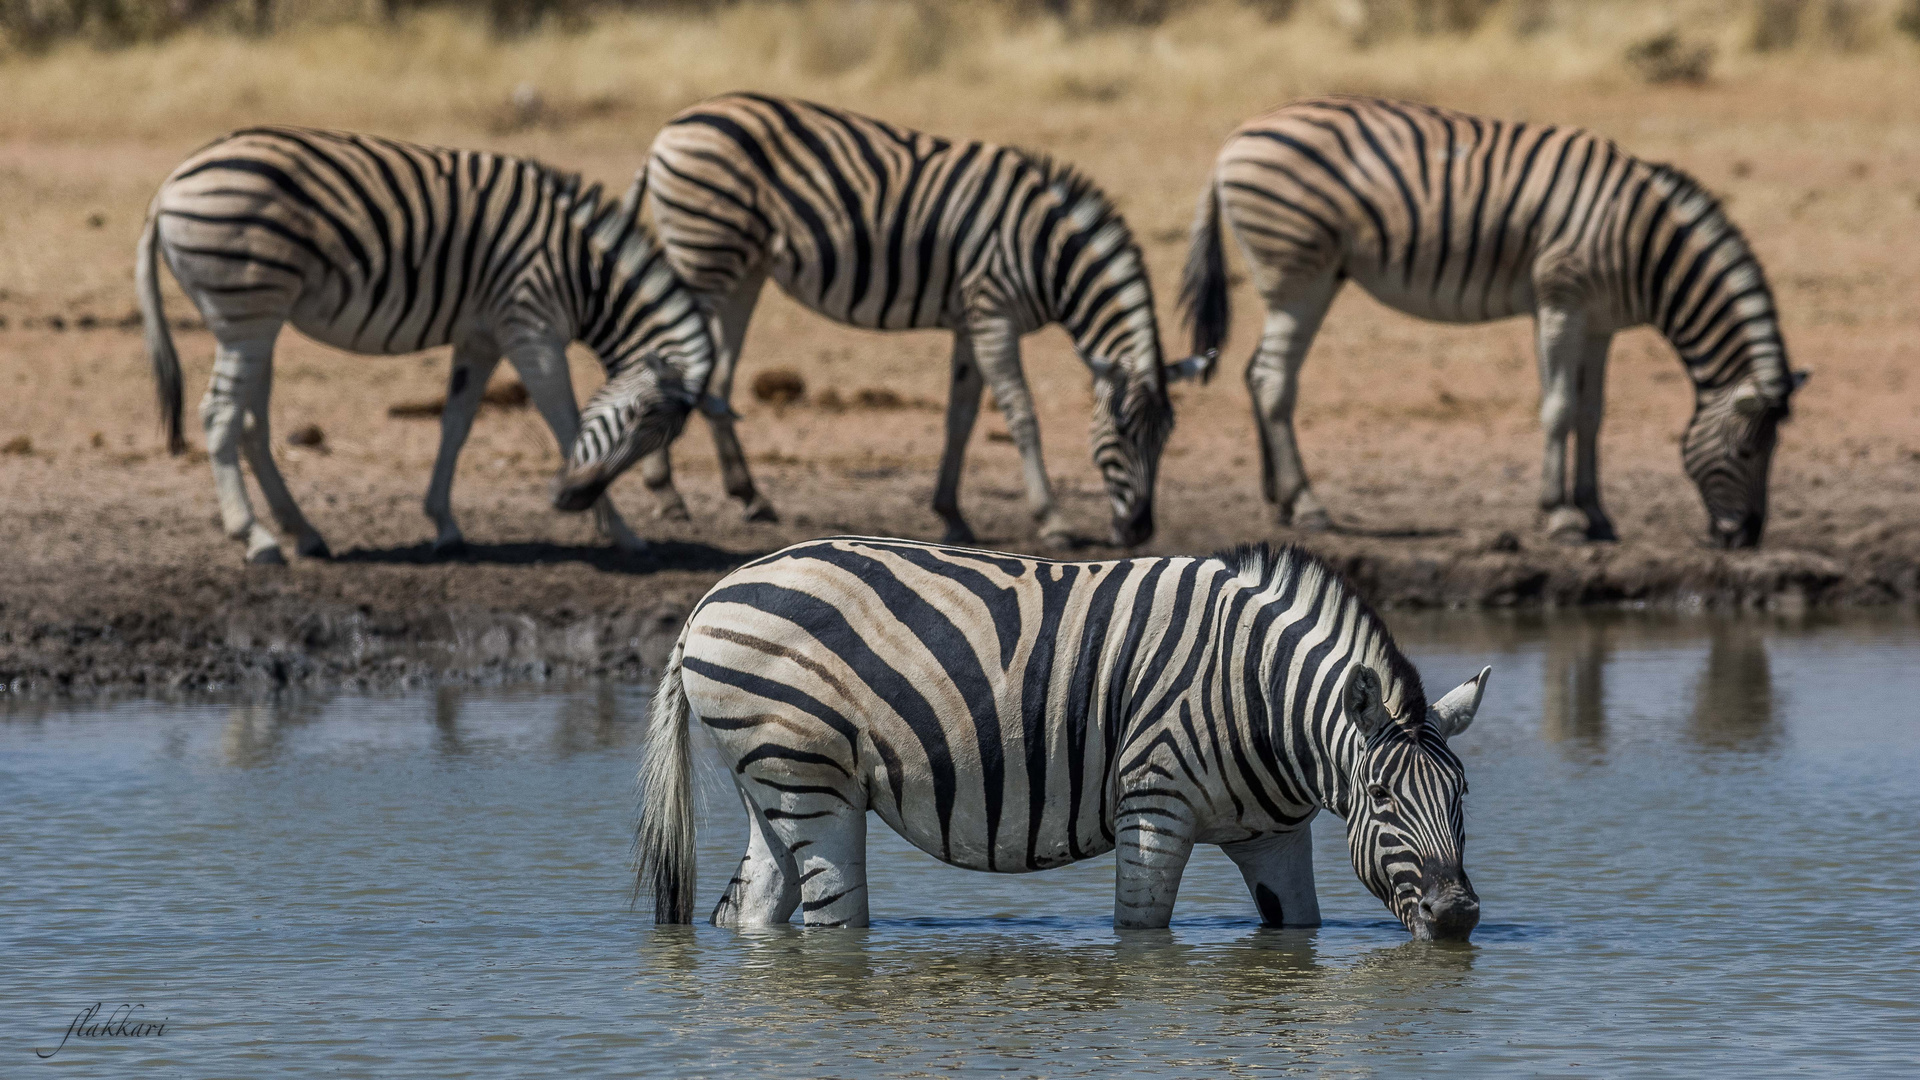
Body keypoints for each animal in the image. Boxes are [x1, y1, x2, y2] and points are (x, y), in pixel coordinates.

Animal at [139, 126, 718, 564]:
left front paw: (445, 526)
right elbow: (566, 424)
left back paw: (303, 532)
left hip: (259, 319)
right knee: (219, 413)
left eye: (659, 433)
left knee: (252, 423)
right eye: (639, 416)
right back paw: (254, 538)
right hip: (247, 312)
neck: (583, 273)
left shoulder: (480, 337)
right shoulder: (530, 328)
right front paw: (622, 532)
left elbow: (455, 425)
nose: (570, 499)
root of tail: (167, 187)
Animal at [625, 92, 1213, 545]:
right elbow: (1021, 414)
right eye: (1121, 432)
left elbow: (961, 416)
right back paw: (666, 493)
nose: (1139, 533)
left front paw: (952, 514)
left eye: (1166, 437)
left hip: (742, 268)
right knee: (671, 363)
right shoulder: (992, 313)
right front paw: (1053, 522)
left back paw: (750, 496)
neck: (1047, 250)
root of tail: (670, 128)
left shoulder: (970, 321)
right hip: (704, 256)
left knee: (717, 376)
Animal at [637, 534, 1489, 937]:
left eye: (1462, 799)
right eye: (1381, 796)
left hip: (774, 783)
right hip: (810, 776)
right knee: (833, 922)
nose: (1456, 920)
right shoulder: (1154, 807)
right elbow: (1141, 934)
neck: (1261, 698)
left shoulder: (1271, 835)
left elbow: (1294, 929)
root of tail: (710, 598)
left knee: (752, 909)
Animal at [1175, 93, 1804, 545]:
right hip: (1298, 274)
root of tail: (1232, 140)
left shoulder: (1598, 323)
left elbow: (1591, 416)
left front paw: (1596, 514)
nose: (1744, 539)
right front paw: (1561, 518)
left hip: (1316, 277)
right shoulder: (1561, 302)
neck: (1644, 242)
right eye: (1748, 454)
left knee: (1256, 372)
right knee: (1272, 380)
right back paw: (1308, 505)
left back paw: (1279, 502)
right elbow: (1559, 408)